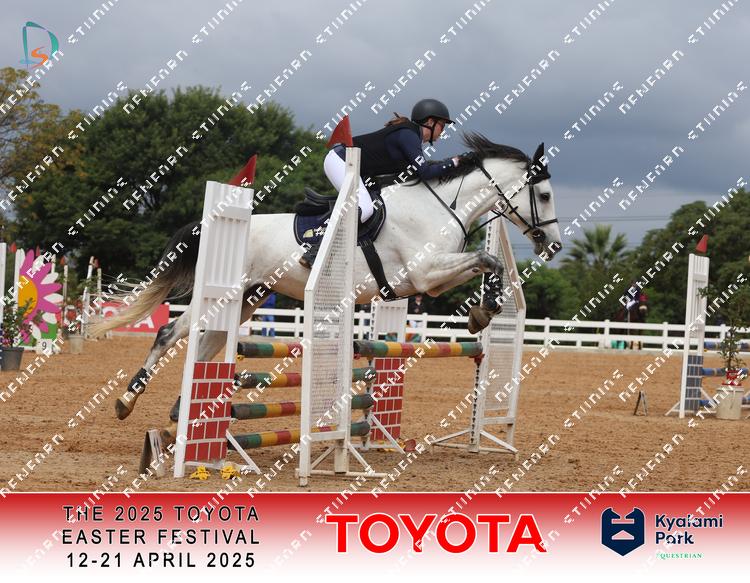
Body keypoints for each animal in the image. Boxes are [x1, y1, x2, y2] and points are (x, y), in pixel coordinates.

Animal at [90, 133, 563, 420]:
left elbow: (488, 265)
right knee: (170, 332)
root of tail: (215, 224)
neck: (440, 205)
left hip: (248, 298)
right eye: (543, 194)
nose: (554, 246)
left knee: (208, 345)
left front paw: (483, 313)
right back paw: (127, 399)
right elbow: (487, 261)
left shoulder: (424, 280)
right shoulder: (426, 272)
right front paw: (484, 312)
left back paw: (185, 411)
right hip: (223, 295)